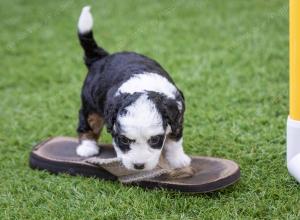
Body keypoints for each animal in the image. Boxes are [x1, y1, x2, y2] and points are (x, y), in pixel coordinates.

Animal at [76, 4, 191, 170]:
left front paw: (178, 160)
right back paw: (87, 147)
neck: (144, 86)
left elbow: (175, 140)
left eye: (154, 140)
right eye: (124, 140)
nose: (138, 166)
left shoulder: (178, 116)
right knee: (87, 120)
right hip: (90, 103)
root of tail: (101, 57)